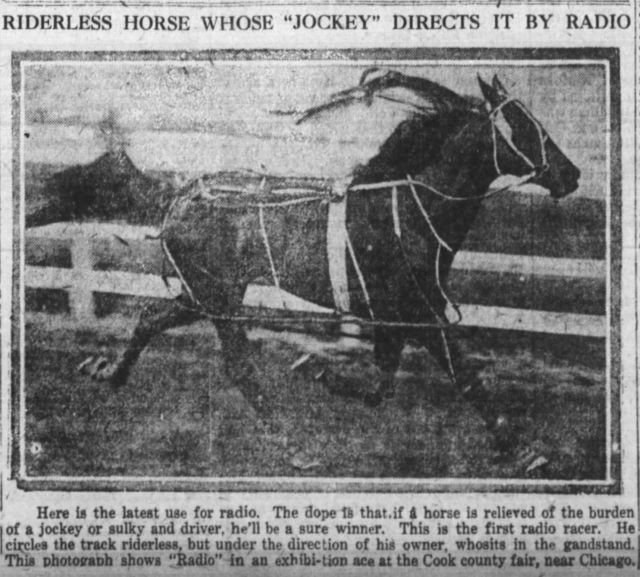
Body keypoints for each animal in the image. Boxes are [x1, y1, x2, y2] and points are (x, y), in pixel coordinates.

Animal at [71, 70, 580, 444]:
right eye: (524, 127)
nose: (571, 173)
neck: (407, 211)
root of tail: (179, 196)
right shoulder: (415, 309)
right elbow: (456, 374)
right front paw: (521, 449)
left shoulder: (401, 312)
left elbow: (384, 383)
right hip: (216, 296)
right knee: (236, 364)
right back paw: (287, 441)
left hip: (205, 294)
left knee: (151, 319)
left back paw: (110, 374)